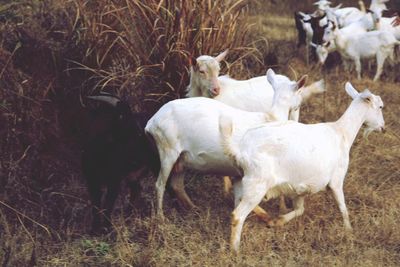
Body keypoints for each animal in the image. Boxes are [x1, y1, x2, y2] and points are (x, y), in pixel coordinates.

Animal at [81, 94, 159, 234]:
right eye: (124, 116)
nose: (141, 132)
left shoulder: (114, 180)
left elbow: (108, 203)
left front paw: (106, 228)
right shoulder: (91, 180)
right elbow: (96, 204)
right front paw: (94, 229)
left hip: (154, 164)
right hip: (133, 173)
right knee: (136, 189)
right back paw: (128, 216)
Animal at [145, 69, 310, 220]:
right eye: (299, 91)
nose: (299, 105)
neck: (271, 117)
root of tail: (151, 123)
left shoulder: (240, 173)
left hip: (182, 158)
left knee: (176, 185)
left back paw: (194, 209)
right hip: (168, 150)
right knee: (160, 185)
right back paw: (160, 218)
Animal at [220, 82, 386, 252]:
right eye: (380, 106)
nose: (383, 127)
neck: (341, 133)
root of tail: (240, 151)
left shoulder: (299, 188)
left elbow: (300, 210)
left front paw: (278, 221)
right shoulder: (336, 180)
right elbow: (342, 207)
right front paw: (349, 231)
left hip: (240, 179)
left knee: (236, 205)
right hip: (257, 184)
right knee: (238, 215)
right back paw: (235, 250)